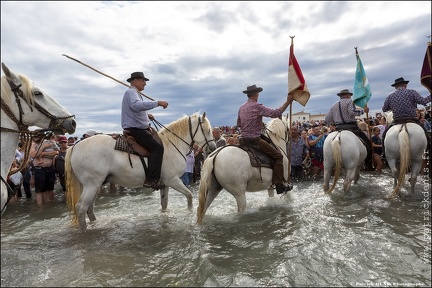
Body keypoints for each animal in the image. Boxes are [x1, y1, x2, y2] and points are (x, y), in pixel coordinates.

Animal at [65, 111, 216, 231]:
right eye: (208, 130)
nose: (213, 147)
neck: (171, 145)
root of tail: (75, 147)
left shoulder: (164, 184)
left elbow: (164, 204)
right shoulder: (172, 180)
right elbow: (189, 196)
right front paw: (189, 212)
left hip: (95, 185)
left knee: (89, 208)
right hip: (91, 185)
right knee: (81, 208)